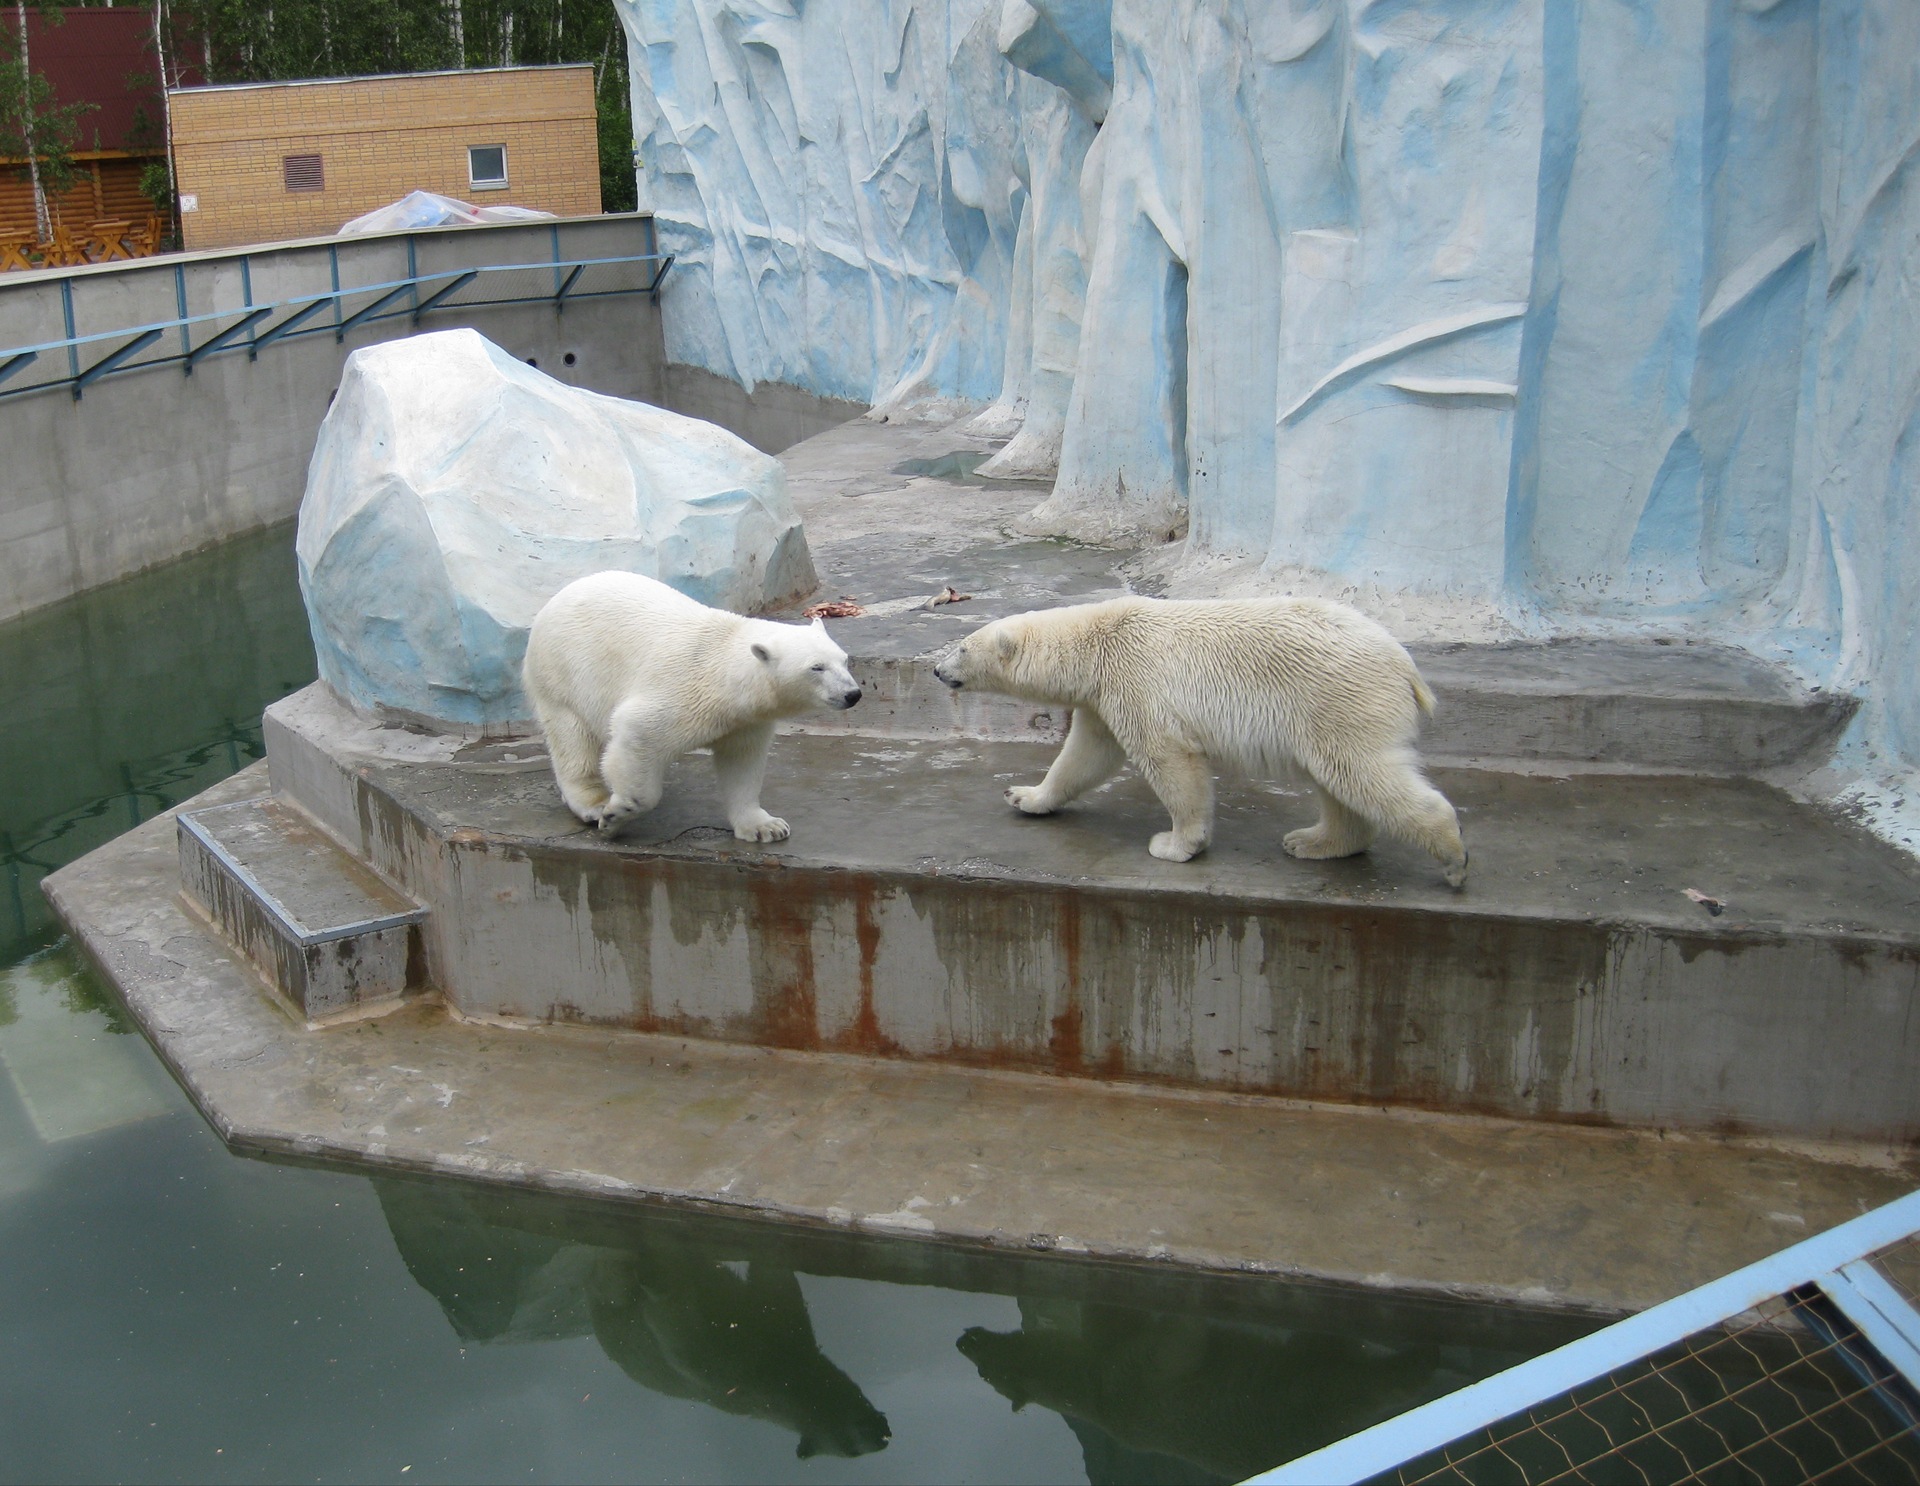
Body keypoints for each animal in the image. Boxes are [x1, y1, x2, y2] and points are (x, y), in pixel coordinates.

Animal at [522, 572, 860, 844]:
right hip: (561, 672)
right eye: (816, 667)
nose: (853, 694)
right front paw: (617, 814)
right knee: (571, 738)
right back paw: (592, 803)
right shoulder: (677, 695)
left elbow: (742, 764)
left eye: (844, 660)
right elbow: (635, 734)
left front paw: (766, 827)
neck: (723, 673)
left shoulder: (745, 721)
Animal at [933, 599, 1466, 890]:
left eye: (961, 646)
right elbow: (1084, 756)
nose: (937, 669)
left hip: (1340, 697)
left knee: (1362, 772)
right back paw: (1314, 841)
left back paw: (1454, 858)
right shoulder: (1104, 697)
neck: (1098, 641)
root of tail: (1407, 667)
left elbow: (1169, 759)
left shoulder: (1136, 680)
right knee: (1338, 780)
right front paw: (1025, 796)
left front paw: (1176, 844)